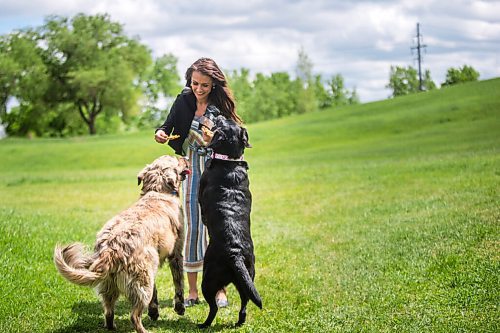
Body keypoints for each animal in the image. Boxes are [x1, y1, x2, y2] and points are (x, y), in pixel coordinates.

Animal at [197, 115, 264, 326]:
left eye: (222, 122)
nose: (218, 115)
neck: (230, 162)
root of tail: (235, 255)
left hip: (208, 279)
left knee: (213, 307)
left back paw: (204, 324)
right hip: (247, 278)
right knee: (244, 304)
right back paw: (239, 322)